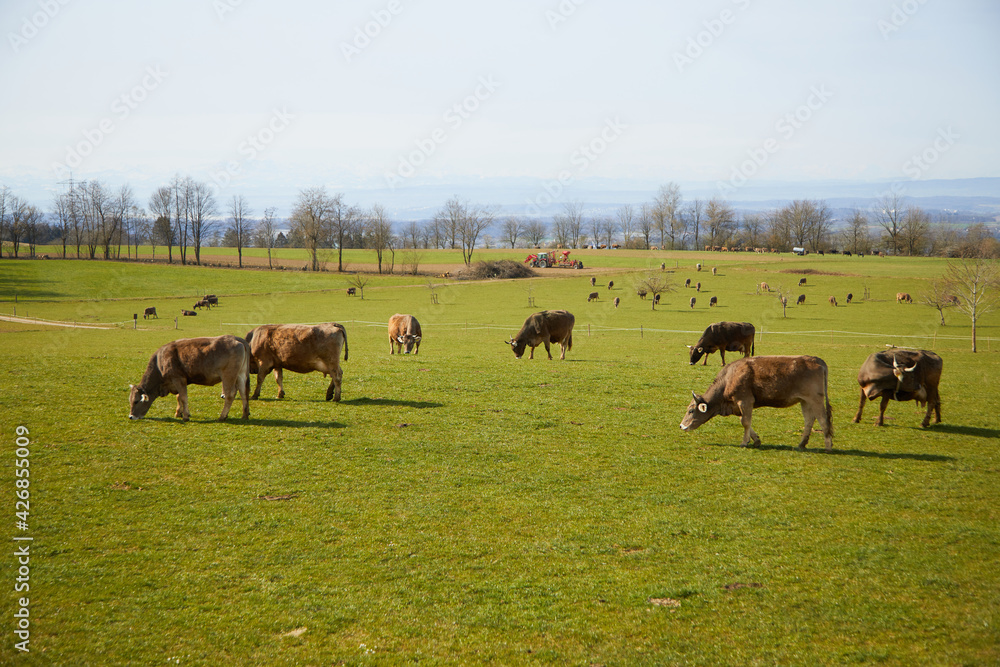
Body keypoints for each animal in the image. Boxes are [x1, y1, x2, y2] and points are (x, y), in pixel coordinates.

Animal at [680, 354, 836, 454]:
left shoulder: (745, 401)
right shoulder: (739, 405)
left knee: (823, 419)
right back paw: (802, 444)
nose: (681, 426)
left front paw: (744, 442)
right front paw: (756, 440)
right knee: (809, 420)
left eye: (691, 411)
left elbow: (745, 422)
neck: (729, 378)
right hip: (805, 401)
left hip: (815, 399)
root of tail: (817, 360)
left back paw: (828, 447)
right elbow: (746, 422)